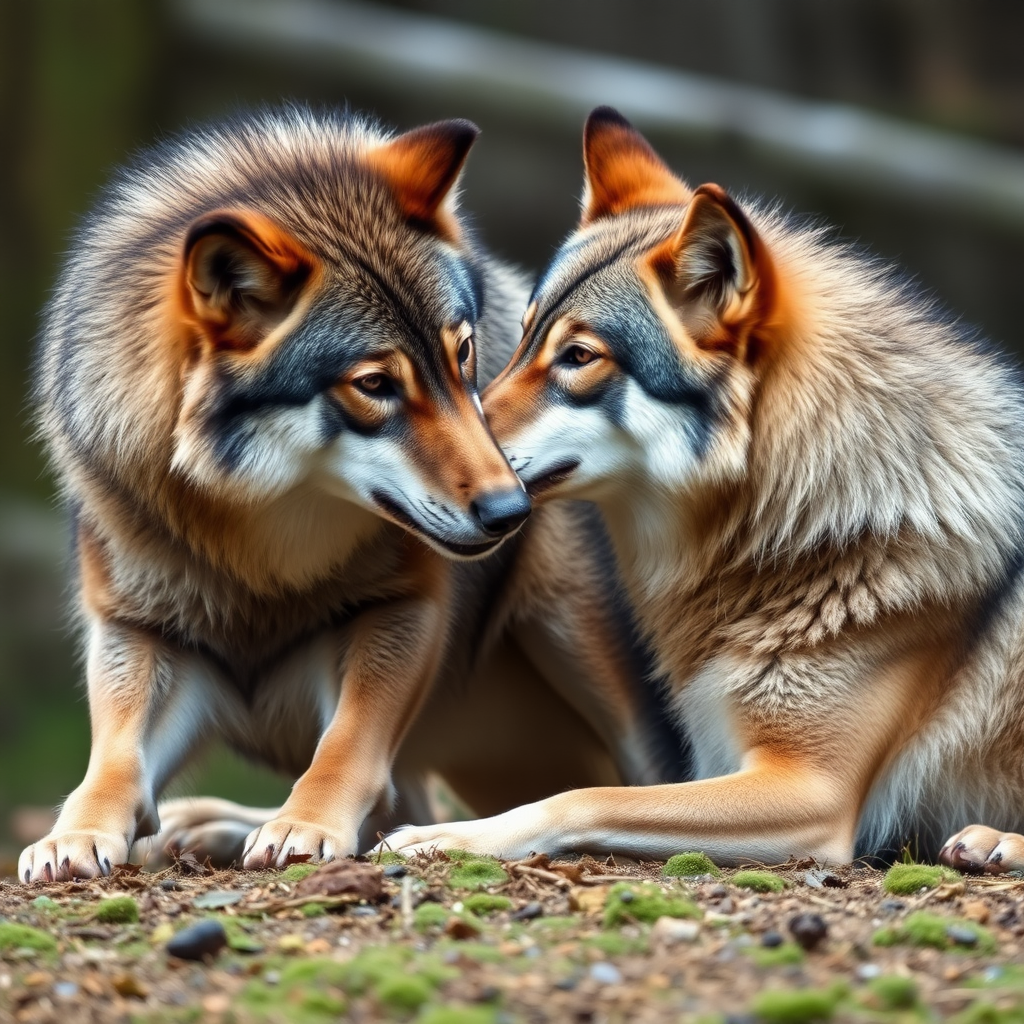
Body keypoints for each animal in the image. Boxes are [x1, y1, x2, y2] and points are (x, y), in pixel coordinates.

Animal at [19, 108, 671, 884]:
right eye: (374, 385)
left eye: (463, 355)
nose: (510, 511)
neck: (260, 549)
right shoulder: (137, 629)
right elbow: (113, 760)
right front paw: (75, 834)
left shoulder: (402, 608)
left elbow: (347, 746)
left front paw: (303, 825)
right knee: (402, 802)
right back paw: (204, 826)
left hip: (580, 634)